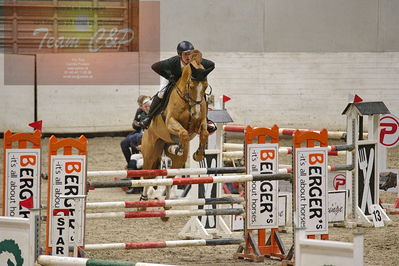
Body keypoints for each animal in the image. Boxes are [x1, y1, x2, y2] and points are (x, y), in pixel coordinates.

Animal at [141, 50, 214, 203]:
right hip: (150, 152)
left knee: (169, 178)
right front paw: (178, 148)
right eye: (191, 86)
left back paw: (167, 205)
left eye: (205, 87)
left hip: (176, 161)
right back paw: (143, 201)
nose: (195, 113)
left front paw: (198, 154)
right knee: (146, 176)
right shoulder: (171, 122)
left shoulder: (200, 123)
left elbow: (204, 133)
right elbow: (183, 132)